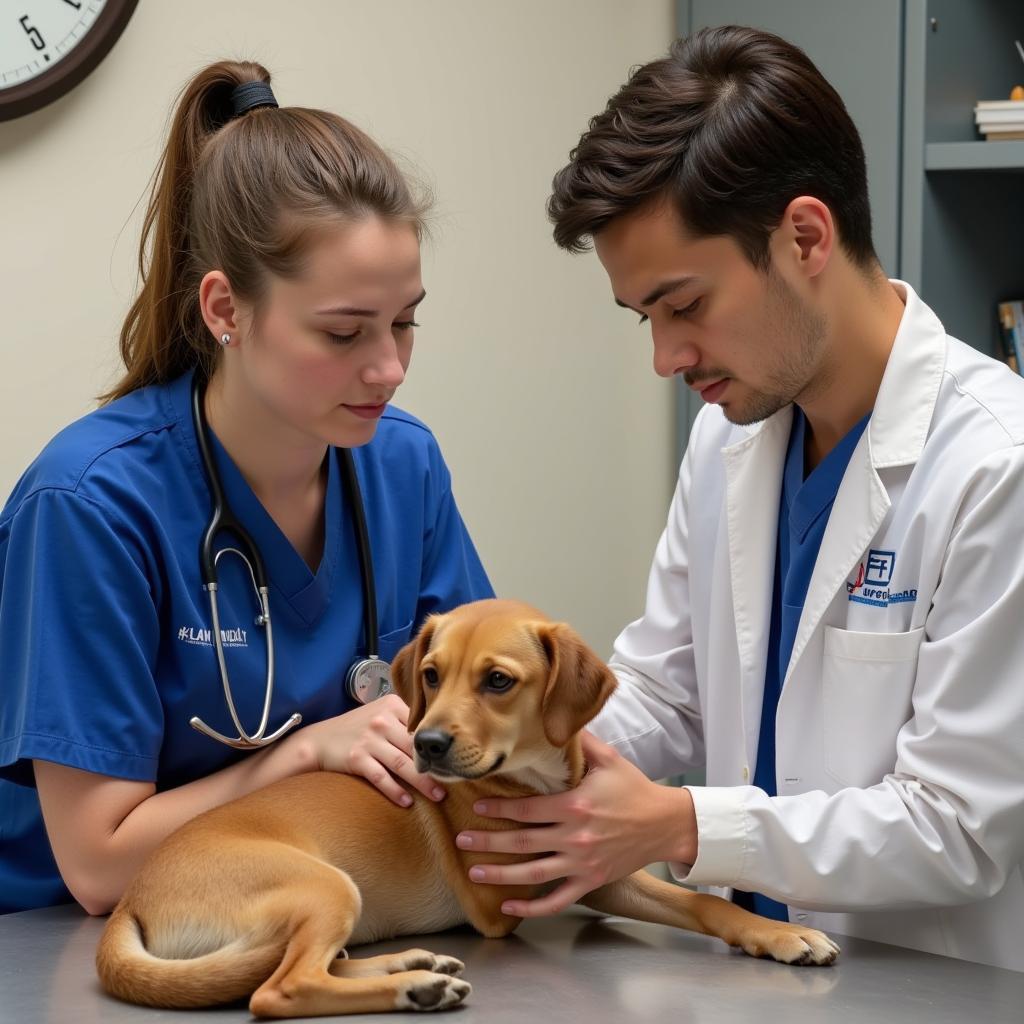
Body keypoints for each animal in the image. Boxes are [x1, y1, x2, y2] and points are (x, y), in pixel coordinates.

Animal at [96, 598, 839, 1015]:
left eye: (498, 681)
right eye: (430, 675)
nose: (424, 744)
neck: (528, 784)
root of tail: (135, 897)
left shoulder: (598, 873)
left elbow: (703, 904)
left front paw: (779, 934)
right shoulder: (513, 895)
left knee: (304, 966)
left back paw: (411, 968)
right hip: (324, 886)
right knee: (280, 988)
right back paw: (408, 990)